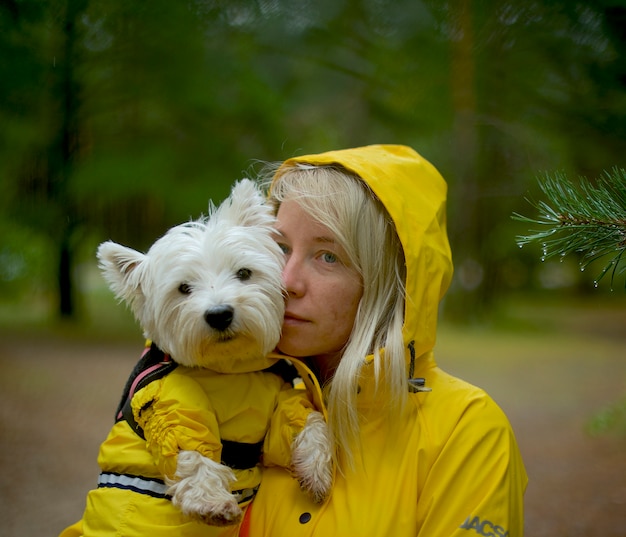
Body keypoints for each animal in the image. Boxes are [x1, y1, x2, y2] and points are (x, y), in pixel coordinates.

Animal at [70, 180, 330, 532]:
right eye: (183, 288)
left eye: (244, 273)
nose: (219, 314)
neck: (231, 370)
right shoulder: (169, 402)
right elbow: (192, 450)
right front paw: (211, 502)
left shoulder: (276, 399)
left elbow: (304, 418)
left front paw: (315, 470)